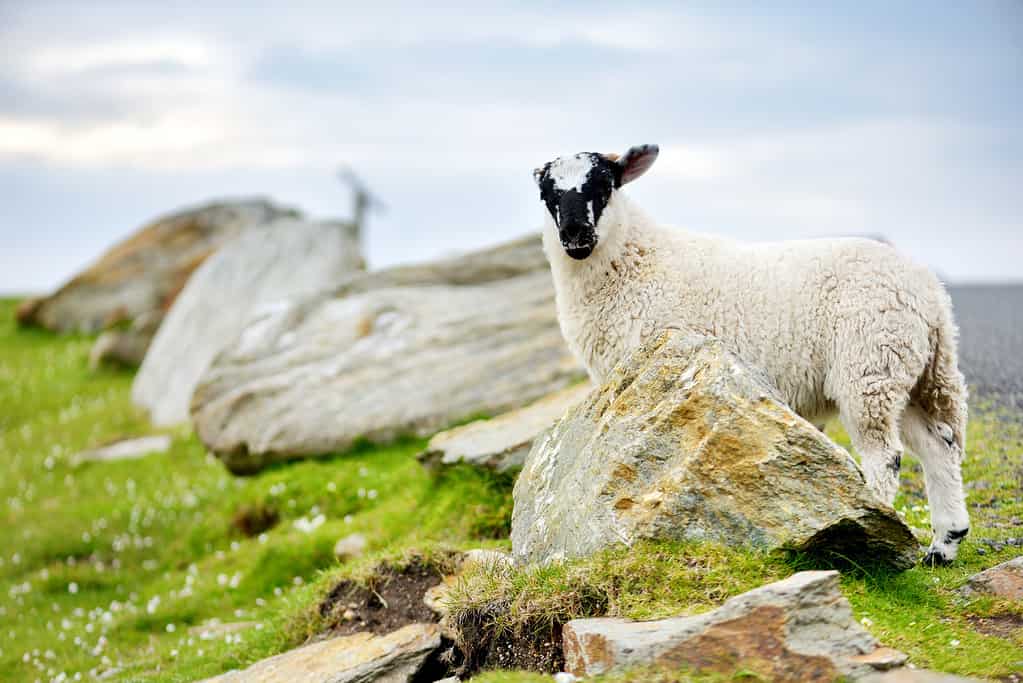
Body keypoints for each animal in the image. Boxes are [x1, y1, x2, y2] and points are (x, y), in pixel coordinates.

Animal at [532, 144, 970, 565]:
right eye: (546, 193)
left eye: (605, 184)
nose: (575, 233)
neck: (635, 262)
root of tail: (930, 292)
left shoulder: (651, 371)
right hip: (908, 371)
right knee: (940, 444)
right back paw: (944, 545)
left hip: (869, 366)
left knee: (886, 455)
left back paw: (875, 526)